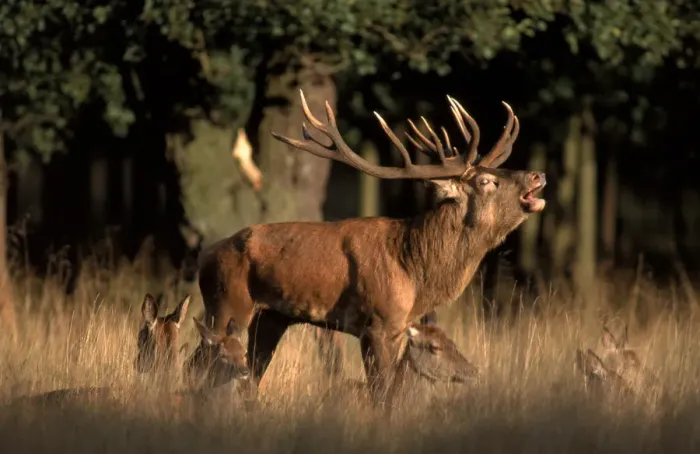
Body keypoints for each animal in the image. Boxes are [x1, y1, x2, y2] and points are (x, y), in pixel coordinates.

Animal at [184, 90, 546, 407]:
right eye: (486, 181)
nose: (537, 175)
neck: (416, 270)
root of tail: (205, 257)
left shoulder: (400, 328)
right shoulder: (378, 325)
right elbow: (381, 394)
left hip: (270, 317)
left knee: (250, 373)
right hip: (226, 302)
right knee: (197, 363)